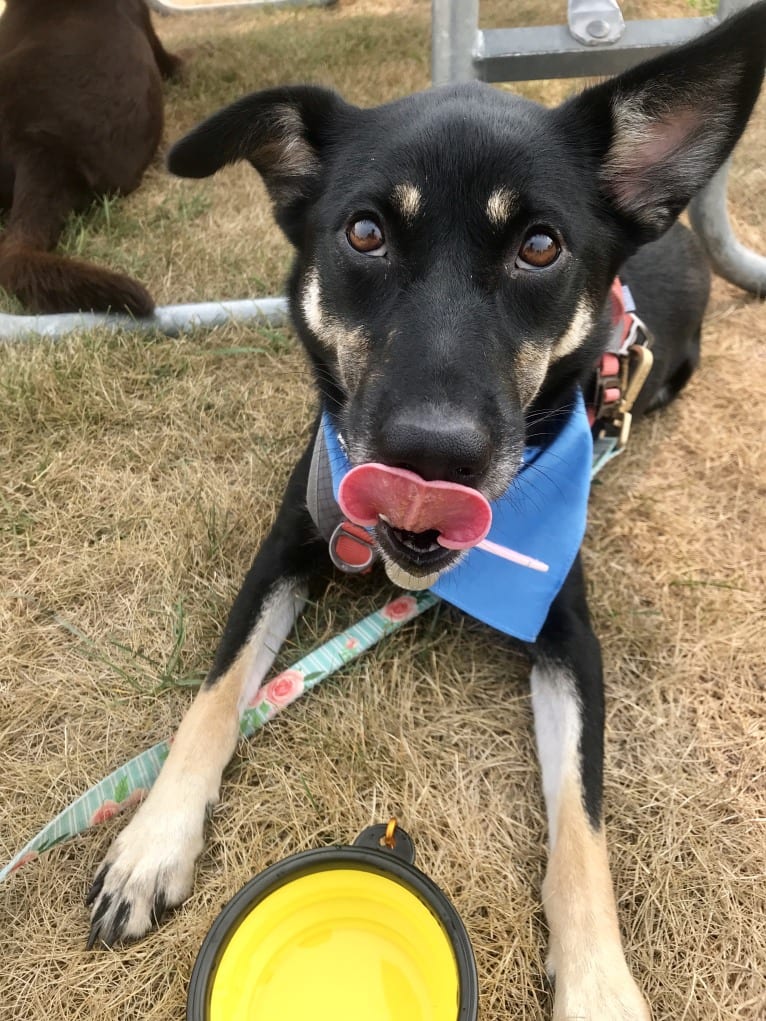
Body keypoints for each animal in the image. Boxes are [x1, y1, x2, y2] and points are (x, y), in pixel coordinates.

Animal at [86, 5, 763, 1012]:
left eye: (539, 246)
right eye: (365, 233)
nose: (431, 457)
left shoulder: (571, 635)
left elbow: (582, 825)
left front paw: (599, 979)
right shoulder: (286, 544)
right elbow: (212, 696)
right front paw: (152, 841)